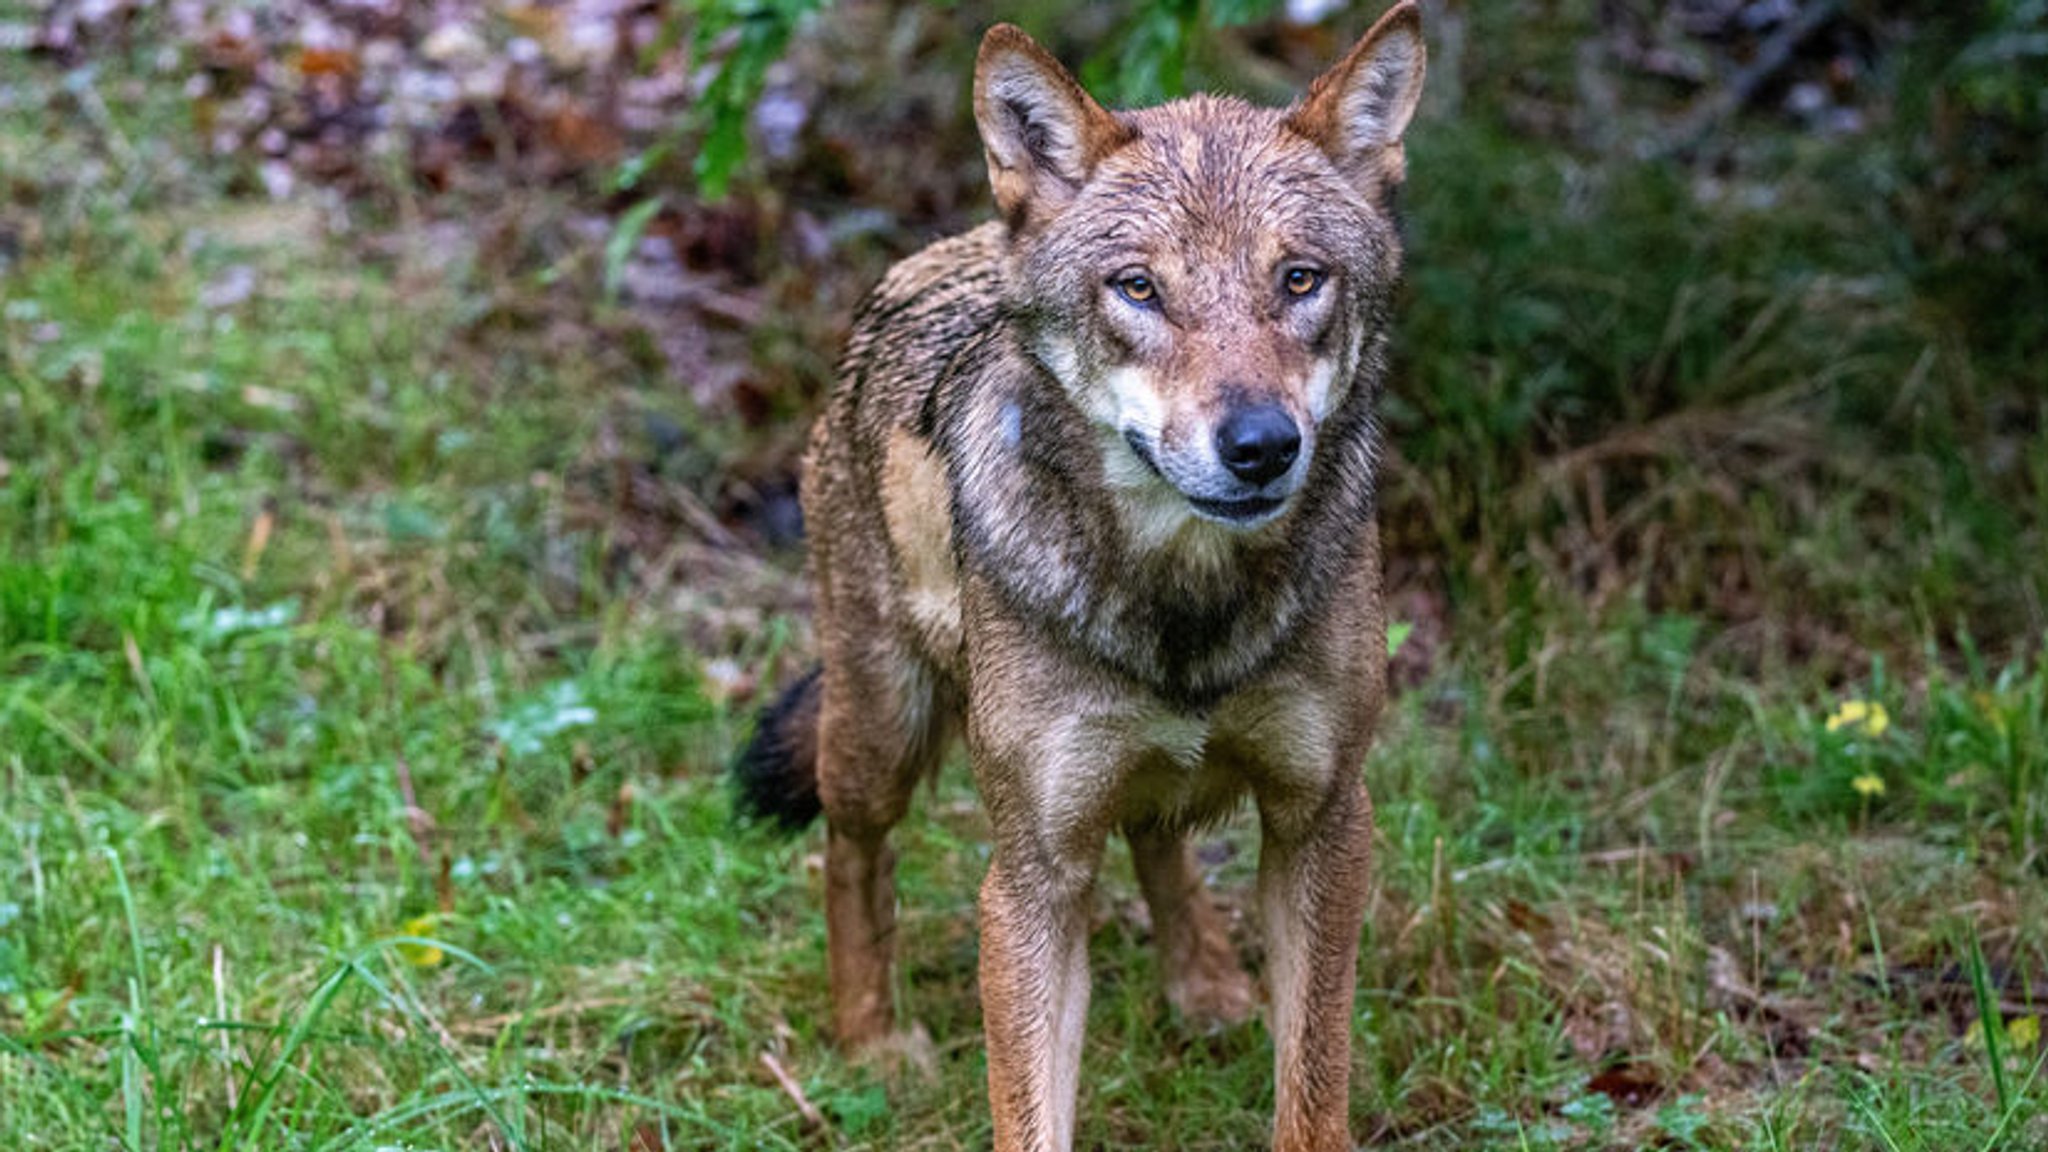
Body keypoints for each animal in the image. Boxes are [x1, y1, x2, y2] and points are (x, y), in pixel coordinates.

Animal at [737, 4, 1425, 1139]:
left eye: (1298, 280)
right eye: (1138, 289)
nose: (1259, 445)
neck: (1183, 607)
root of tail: (957, 247)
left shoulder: (1324, 823)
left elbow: (1311, 1090)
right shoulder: (1031, 876)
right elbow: (1027, 1113)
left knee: (1155, 835)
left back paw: (1205, 984)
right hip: (880, 730)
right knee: (849, 851)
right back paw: (872, 1040)